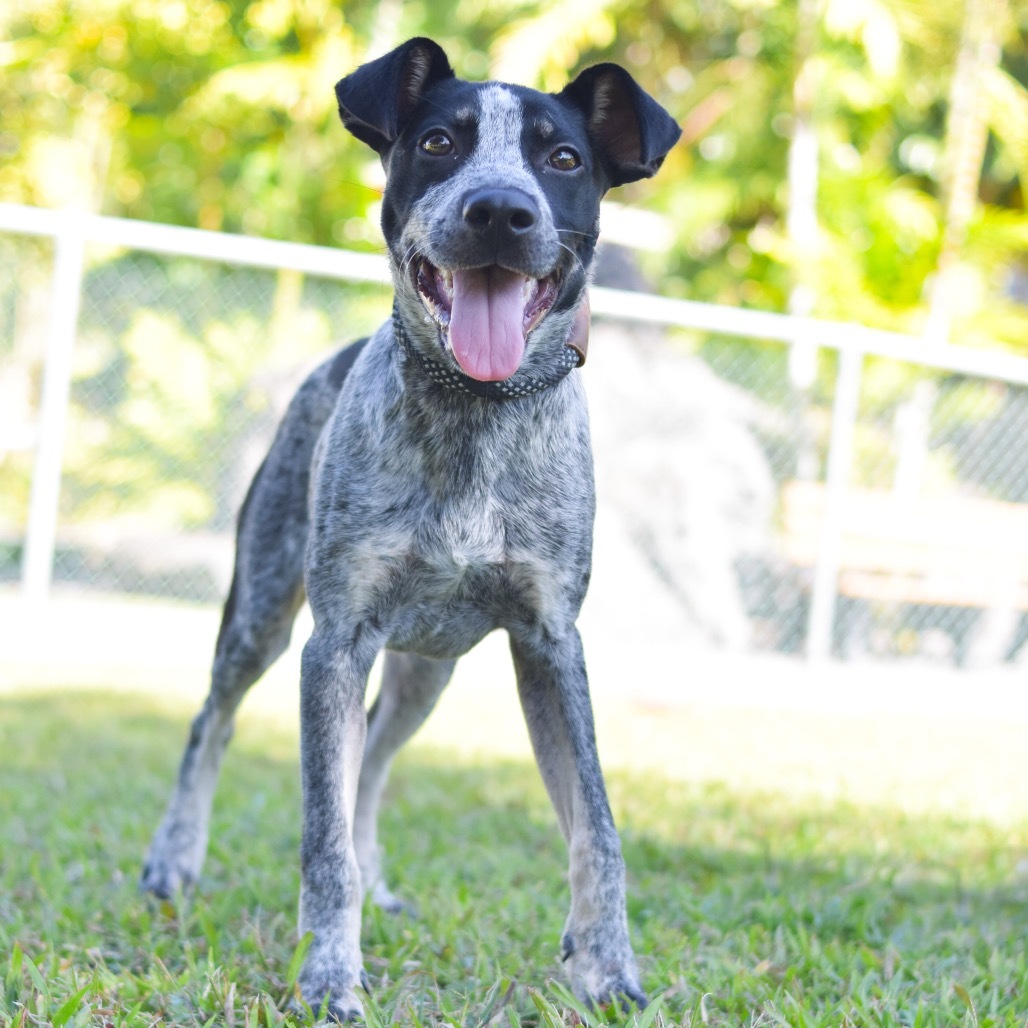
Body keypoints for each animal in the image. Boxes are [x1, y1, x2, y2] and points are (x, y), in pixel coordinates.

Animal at [138, 38, 682, 1019]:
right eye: (438, 142)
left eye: (563, 158)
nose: (500, 211)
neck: (476, 412)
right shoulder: (335, 642)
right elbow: (321, 840)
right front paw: (328, 975)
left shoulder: (551, 645)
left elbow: (598, 826)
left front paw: (607, 968)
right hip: (262, 613)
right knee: (213, 721)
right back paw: (175, 861)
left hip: (427, 671)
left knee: (376, 759)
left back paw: (380, 882)